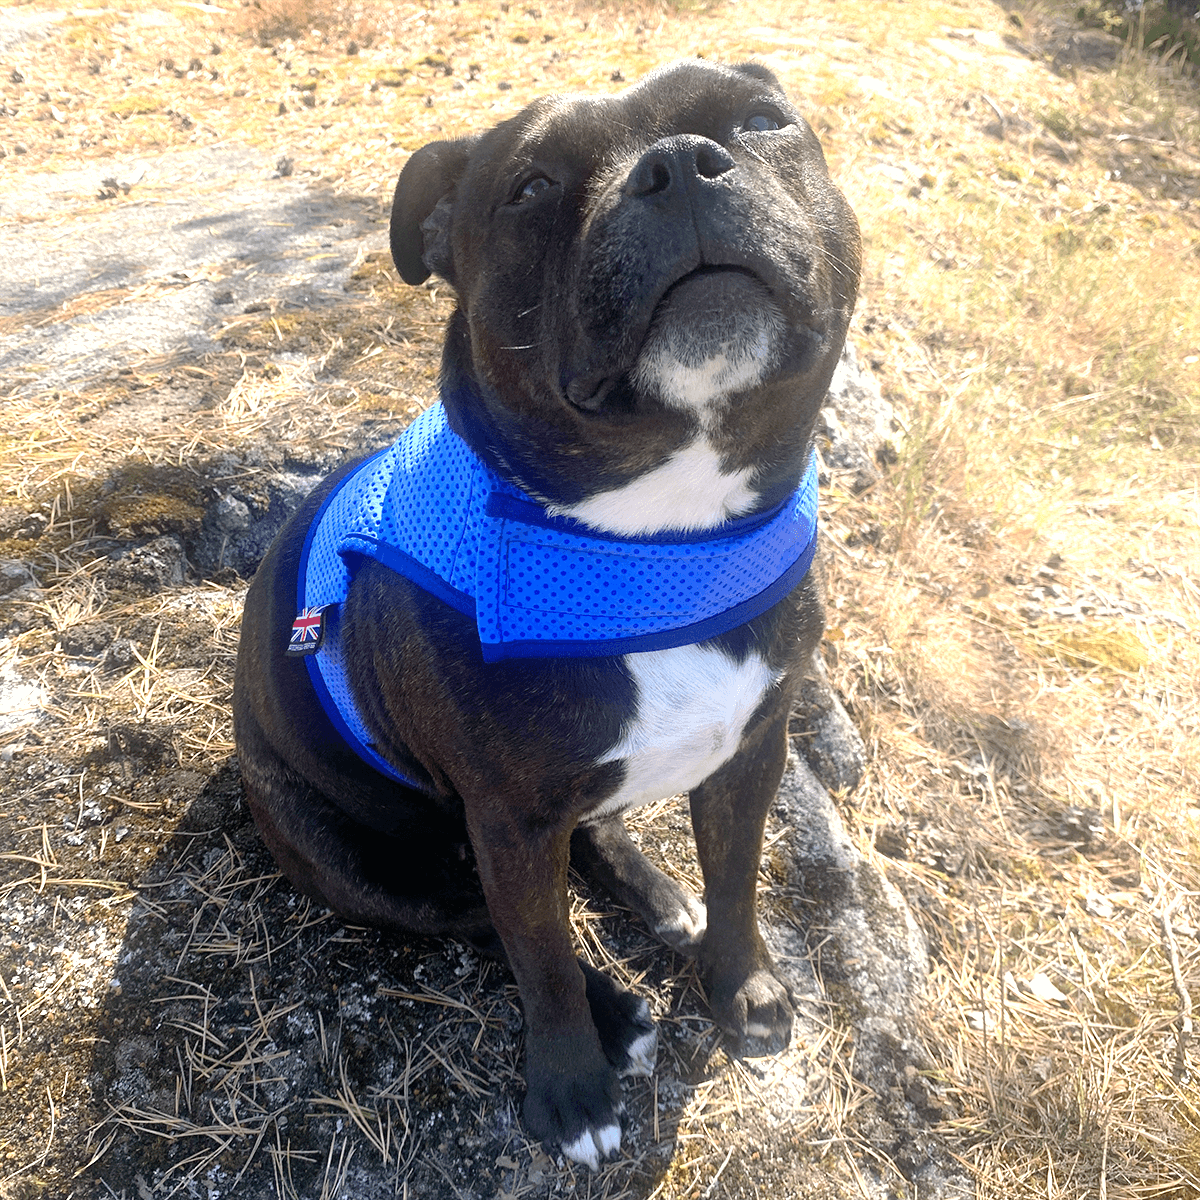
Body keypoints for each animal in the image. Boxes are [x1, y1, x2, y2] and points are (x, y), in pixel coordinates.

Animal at [229, 60, 859, 1166]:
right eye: (529, 188)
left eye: (762, 120)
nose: (679, 165)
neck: (654, 543)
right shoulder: (511, 824)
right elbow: (541, 956)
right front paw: (572, 1091)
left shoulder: (754, 750)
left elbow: (739, 879)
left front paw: (741, 987)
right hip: (349, 854)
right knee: (475, 915)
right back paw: (620, 1010)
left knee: (596, 839)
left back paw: (661, 899)